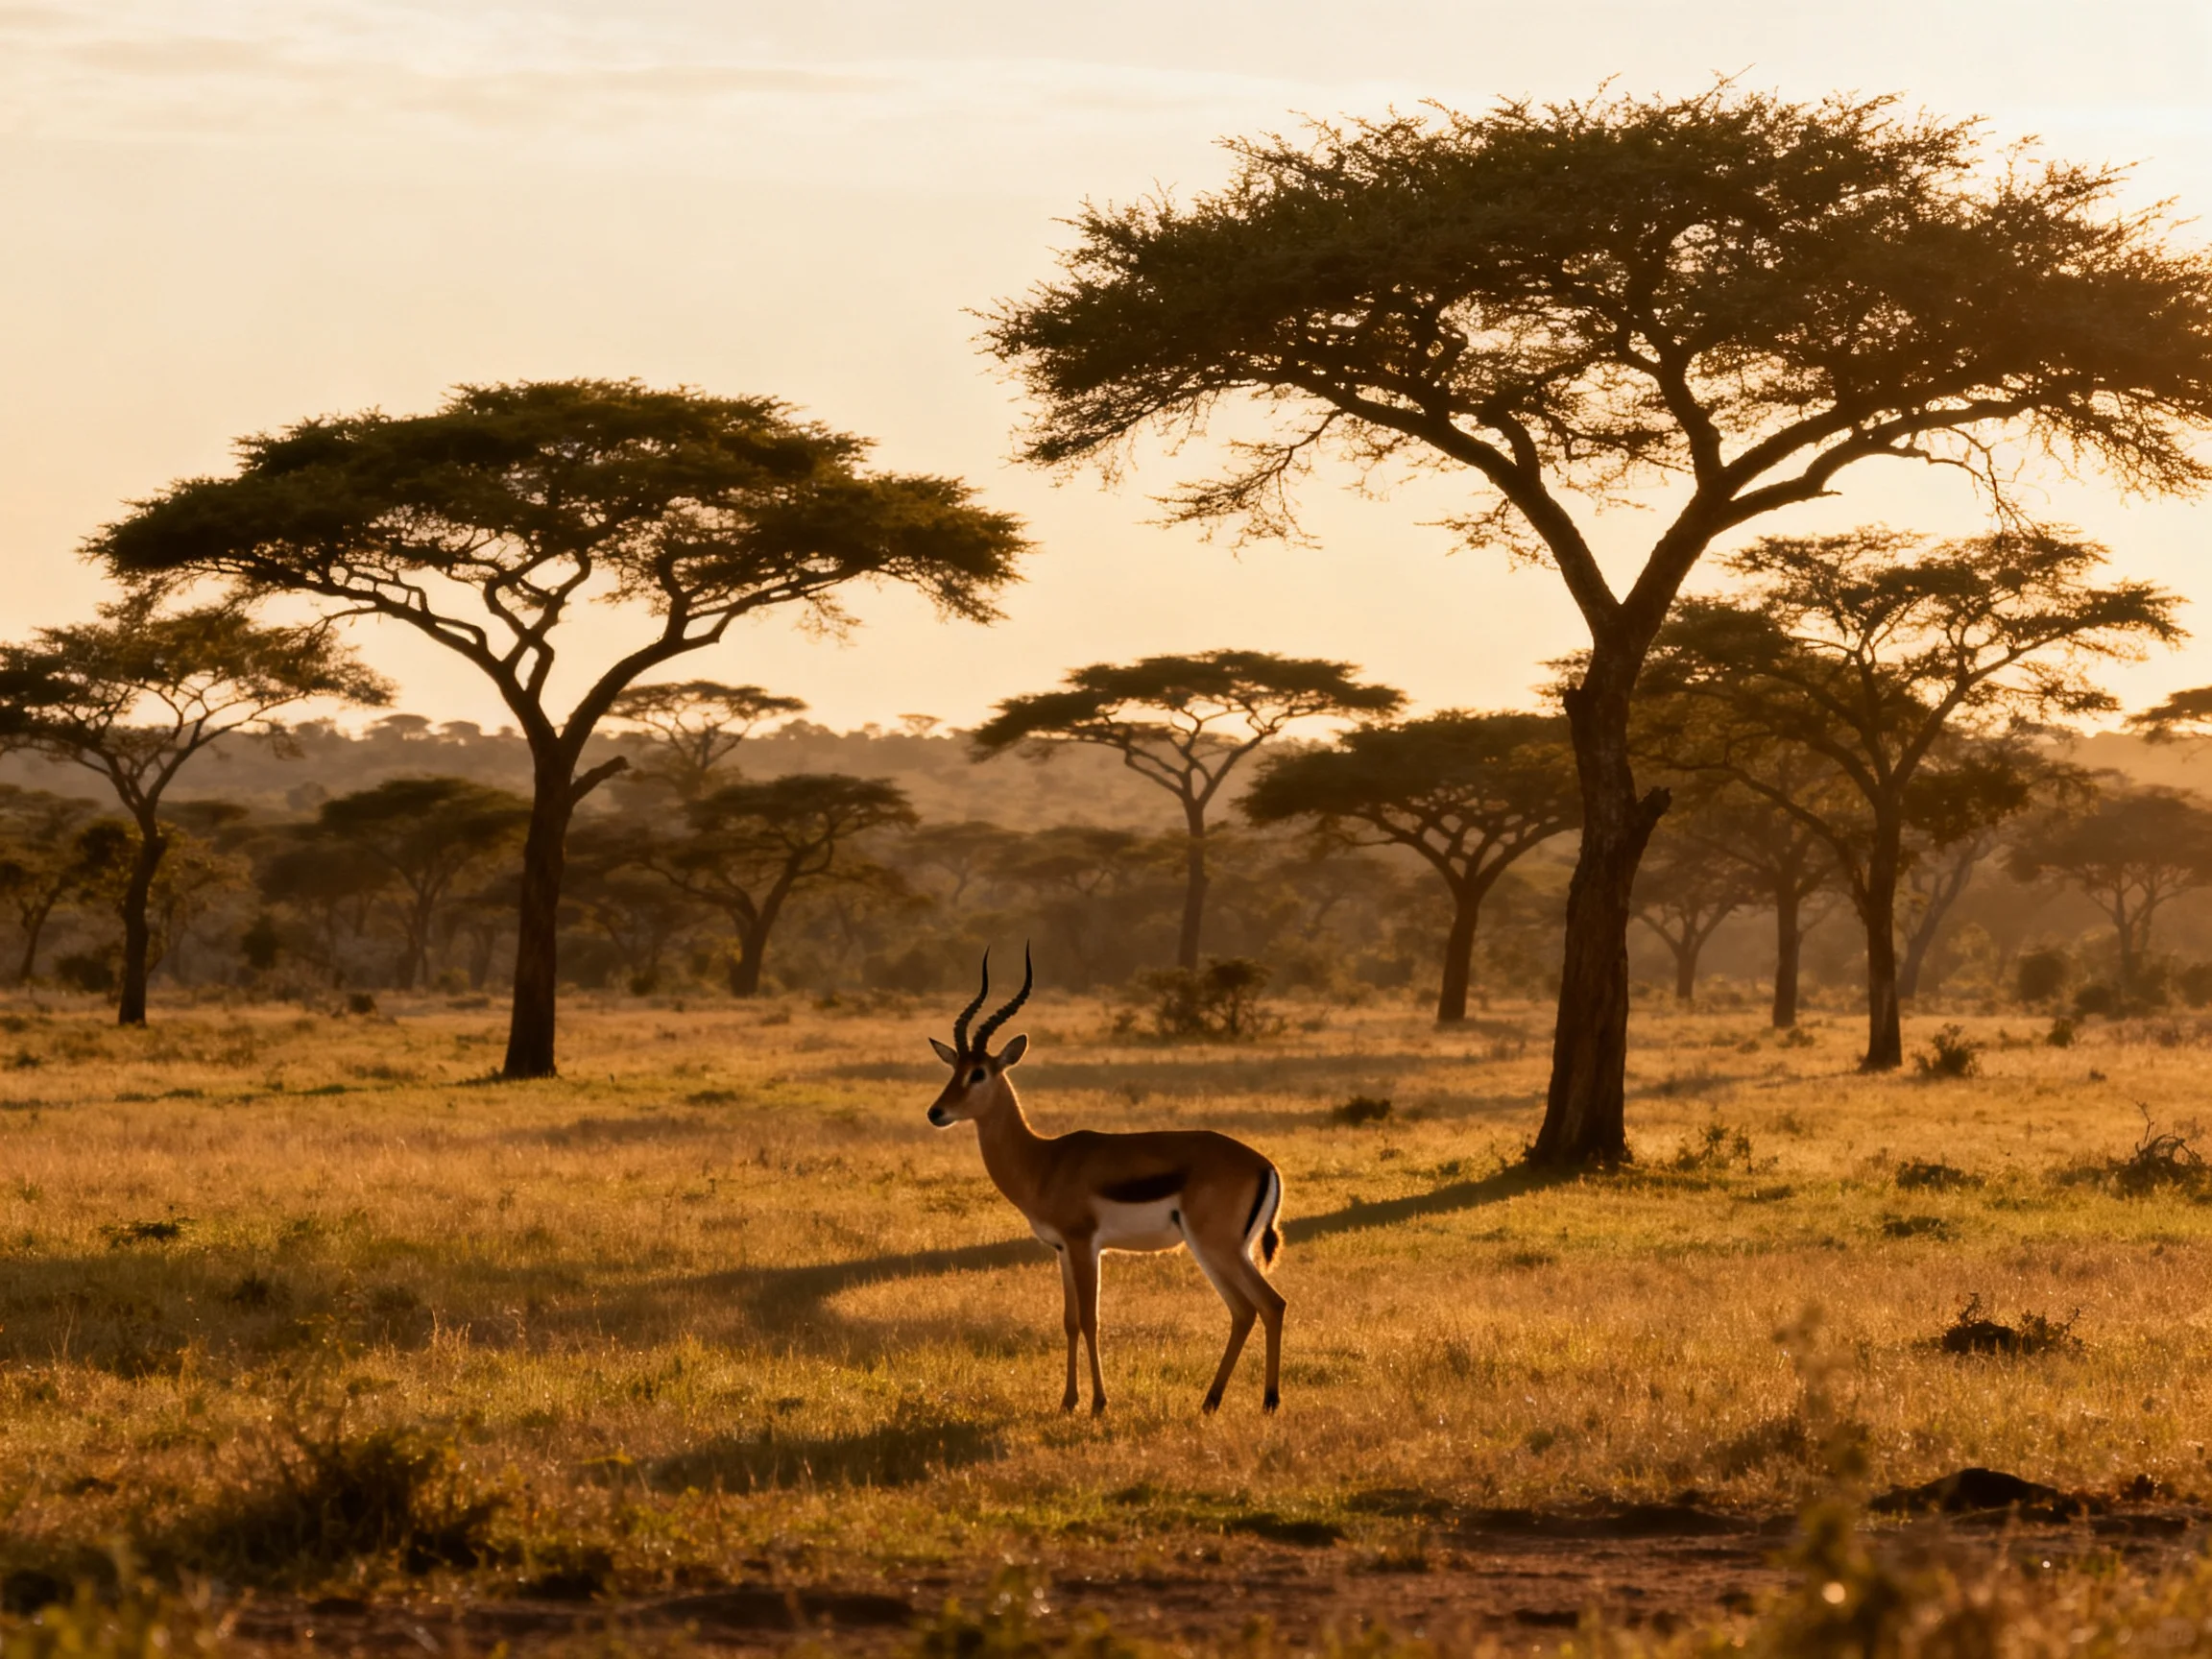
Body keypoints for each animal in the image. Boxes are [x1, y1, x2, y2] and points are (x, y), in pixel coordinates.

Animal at [926, 949, 1287, 1415]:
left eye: (980, 1073)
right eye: (955, 1067)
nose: (936, 1112)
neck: (1045, 1161)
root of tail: (1265, 1164)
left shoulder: (1084, 1245)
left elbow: (1091, 1319)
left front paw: (1098, 1403)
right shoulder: (1062, 1250)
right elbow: (1068, 1321)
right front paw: (1068, 1401)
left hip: (1217, 1247)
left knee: (1268, 1304)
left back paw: (1268, 1401)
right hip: (1221, 1250)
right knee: (1245, 1310)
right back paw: (1212, 1401)